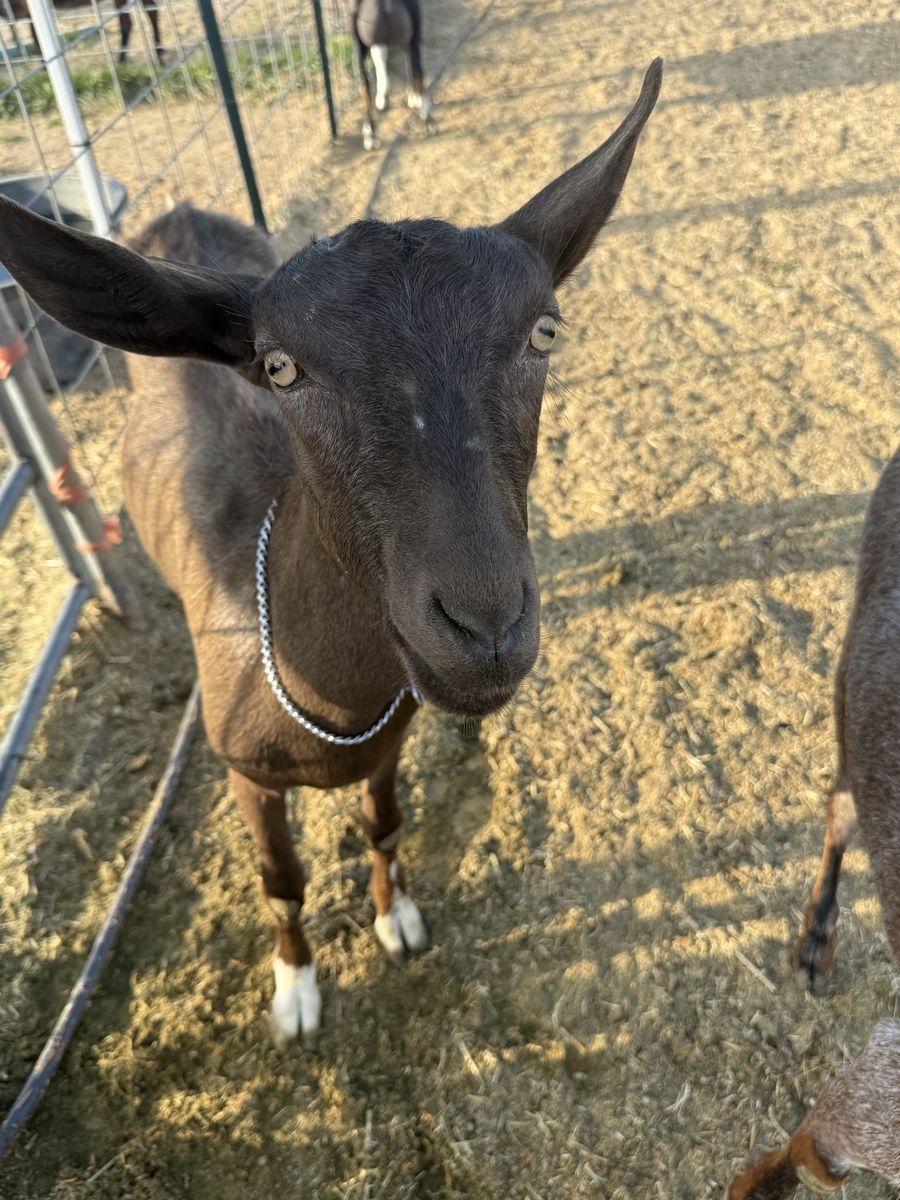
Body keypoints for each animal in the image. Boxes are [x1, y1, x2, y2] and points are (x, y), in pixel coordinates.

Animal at [0, 60, 662, 1046]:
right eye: (280, 368)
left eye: (545, 330)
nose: (484, 627)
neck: (327, 699)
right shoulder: (244, 773)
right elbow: (282, 881)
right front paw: (296, 992)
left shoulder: (391, 738)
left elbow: (384, 825)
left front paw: (398, 919)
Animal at [349, 0, 432, 150]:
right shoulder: (411, 36)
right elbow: (410, 65)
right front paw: (415, 98)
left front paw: (383, 99)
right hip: (412, 36)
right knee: (417, 71)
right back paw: (427, 119)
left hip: (358, 42)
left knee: (364, 84)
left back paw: (370, 135)